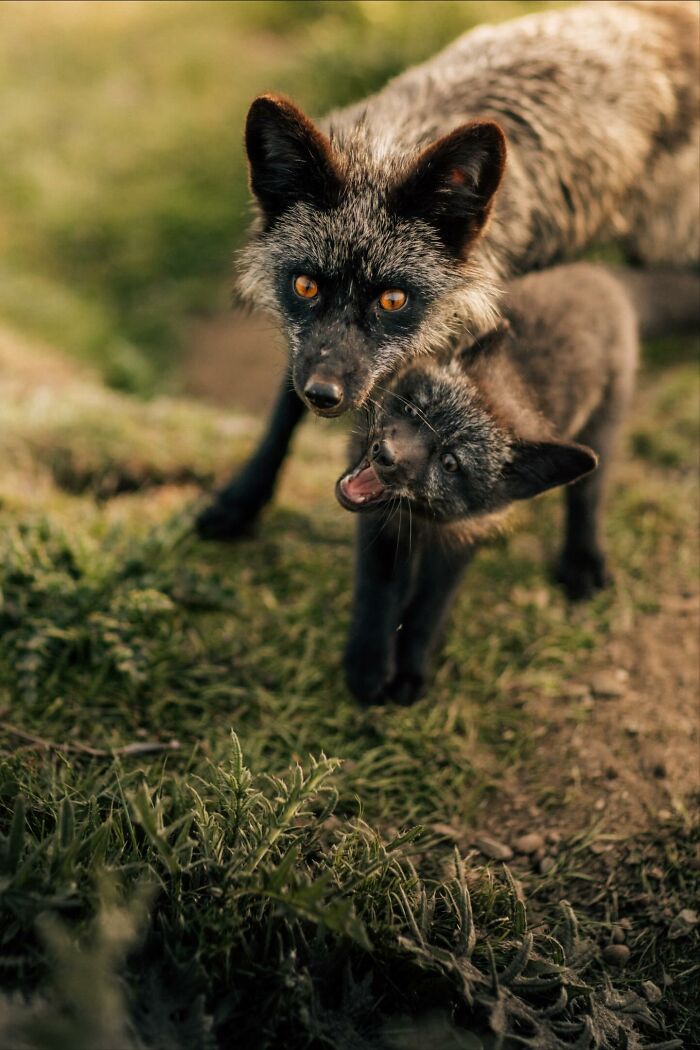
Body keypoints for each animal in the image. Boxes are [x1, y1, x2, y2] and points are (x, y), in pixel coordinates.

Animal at [197, 0, 699, 541]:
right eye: (305, 286)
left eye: (393, 300)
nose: (326, 397)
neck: (394, 145)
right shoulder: (310, 353)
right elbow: (286, 408)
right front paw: (242, 500)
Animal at [335, 263, 700, 705]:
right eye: (413, 408)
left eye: (451, 463)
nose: (384, 454)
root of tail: (596, 272)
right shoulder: (383, 526)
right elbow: (379, 592)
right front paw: (368, 666)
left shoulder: (463, 536)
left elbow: (428, 609)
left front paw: (408, 673)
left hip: (602, 434)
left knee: (588, 499)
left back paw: (582, 562)